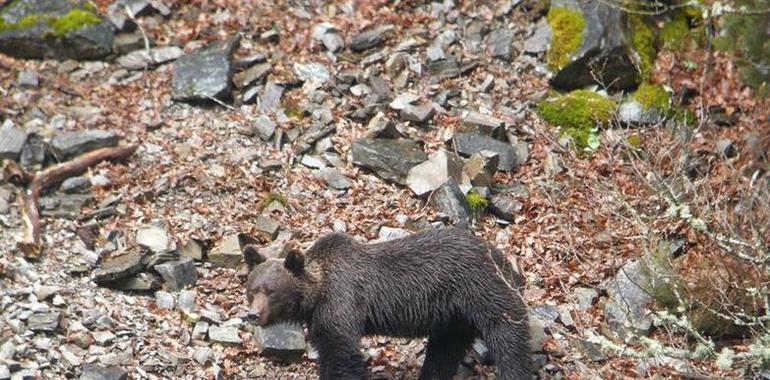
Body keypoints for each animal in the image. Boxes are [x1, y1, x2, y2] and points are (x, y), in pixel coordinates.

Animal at [243, 227, 532, 378]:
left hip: (481, 289)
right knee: (444, 351)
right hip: (454, 317)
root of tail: (503, 258)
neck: (317, 294)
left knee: (507, 336)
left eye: (271, 291)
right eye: (252, 290)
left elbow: (341, 352)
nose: (252, 315)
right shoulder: (319, 318)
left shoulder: (341, 301)